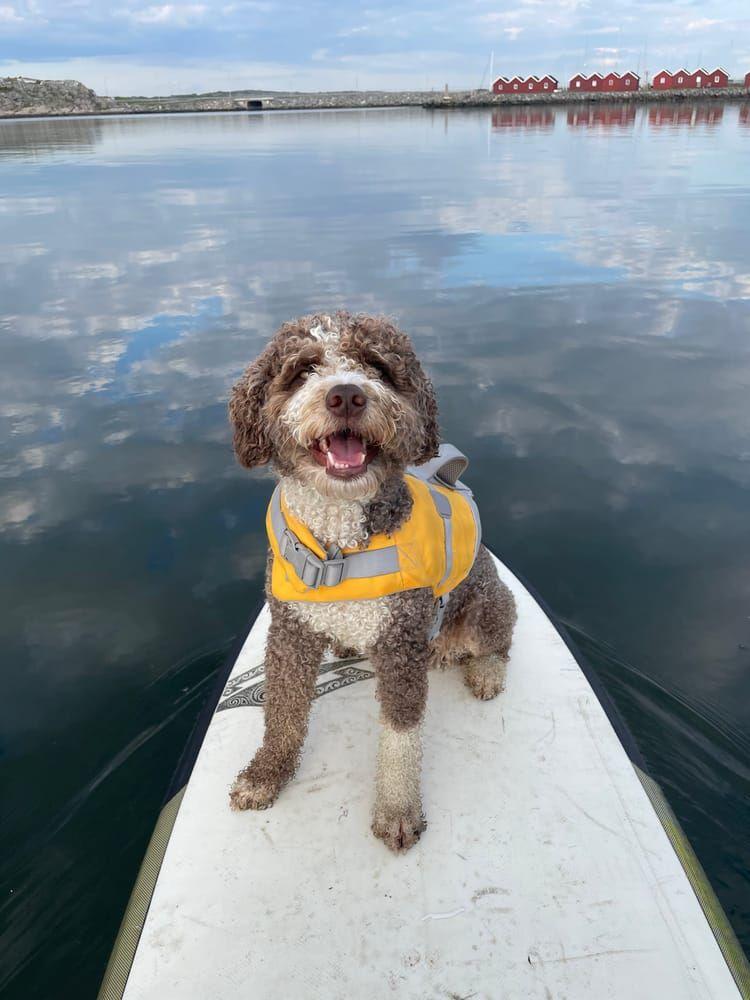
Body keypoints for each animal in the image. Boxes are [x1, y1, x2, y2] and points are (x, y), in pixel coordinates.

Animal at [226, 310, 516, 852]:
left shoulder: (401, 642)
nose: (346, 394)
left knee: (497, 642)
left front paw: (397, 811)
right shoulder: (290, 632)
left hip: (489, 601)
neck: (337, 548)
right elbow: (282, 711)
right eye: (302, 370)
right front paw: (265, 775)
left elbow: (400, 739)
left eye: (378, 368)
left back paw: (484, 669)